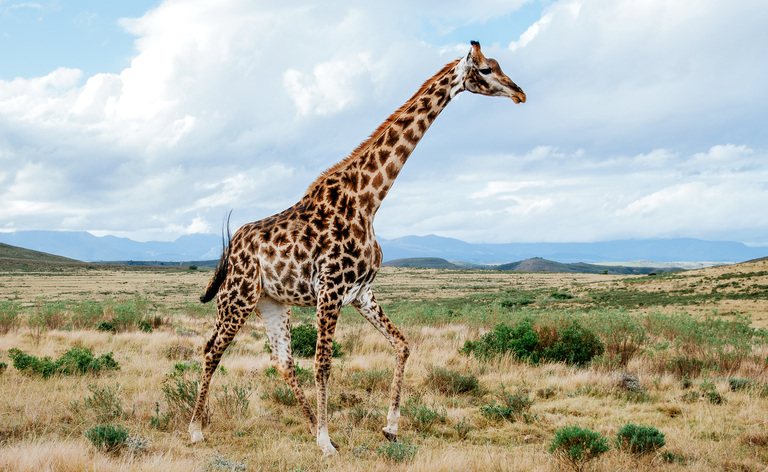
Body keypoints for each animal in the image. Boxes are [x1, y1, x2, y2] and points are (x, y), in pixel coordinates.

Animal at [190, 42, 528, 456]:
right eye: (485, 69)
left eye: (497, 64)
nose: (519, 93)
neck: (369, 200)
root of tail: (232, 246)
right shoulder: (330, 290)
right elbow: (323, 365)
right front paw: (325, 443)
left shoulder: (361, 292)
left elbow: (402, 345)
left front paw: (389, 428)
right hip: (238, 297)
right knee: (212, 349)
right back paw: (197, 429)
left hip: (272, 302)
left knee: (282, 360)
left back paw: (310, 424)